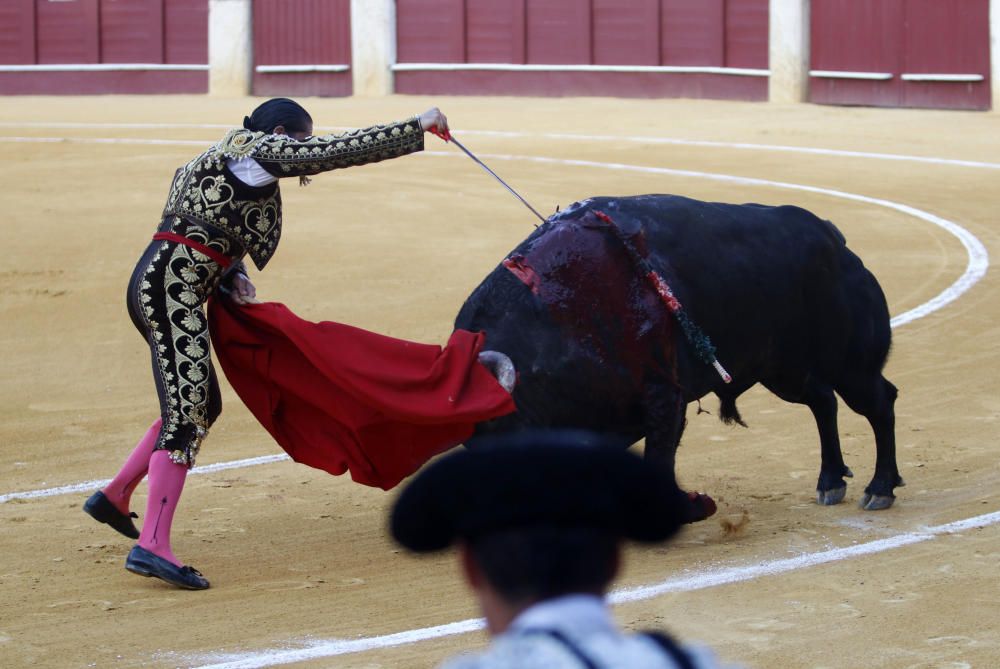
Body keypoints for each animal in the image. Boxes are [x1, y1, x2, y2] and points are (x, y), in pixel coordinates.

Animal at [458, 194, 904, 520]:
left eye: (505, 435)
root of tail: (833, 238)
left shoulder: (663, 397)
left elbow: (659, 457)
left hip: (850, 365)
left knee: (879, 403)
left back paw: (879, 489)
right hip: (783, 370)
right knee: (822, 401)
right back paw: (830, 481)